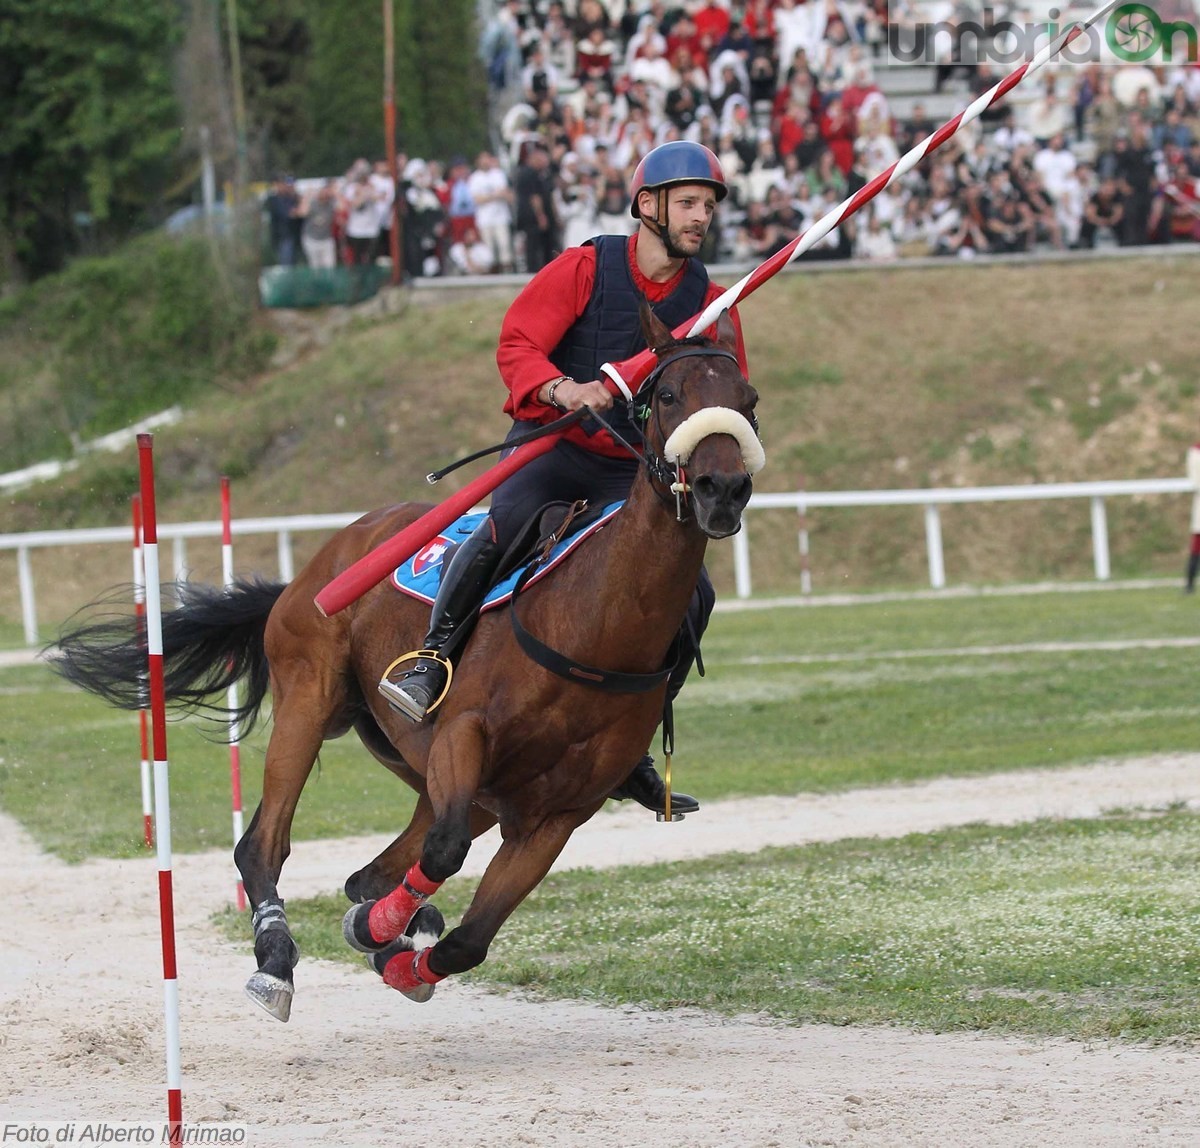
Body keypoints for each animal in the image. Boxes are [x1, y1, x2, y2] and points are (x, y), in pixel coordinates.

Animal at [54, 299, 758, 1017]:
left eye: (748, 400)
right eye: (668, 395)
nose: (721, 488)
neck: (595, 624)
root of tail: (319, 563)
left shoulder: (552, 816)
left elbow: (469, 939)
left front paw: (396, 951)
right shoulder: (462, 737)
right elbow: (442, 853)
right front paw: (378, 932)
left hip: (434, 775)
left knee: (370, 873)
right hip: (311, 704)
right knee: (264, 846)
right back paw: (277, 958)